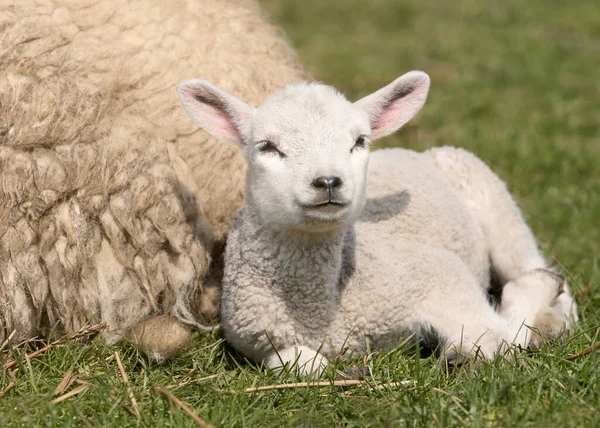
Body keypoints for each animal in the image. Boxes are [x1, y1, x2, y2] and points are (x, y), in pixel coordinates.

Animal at [177, 70, 576, 374]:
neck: (320, 308)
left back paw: (551, 312)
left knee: (529, 265)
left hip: (493, 200)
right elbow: (303, 364)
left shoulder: (440, 275)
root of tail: (419, 152)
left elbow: (496, 339)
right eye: (267, 147)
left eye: (359, 141)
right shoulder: (258, 338)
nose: (328, 181)